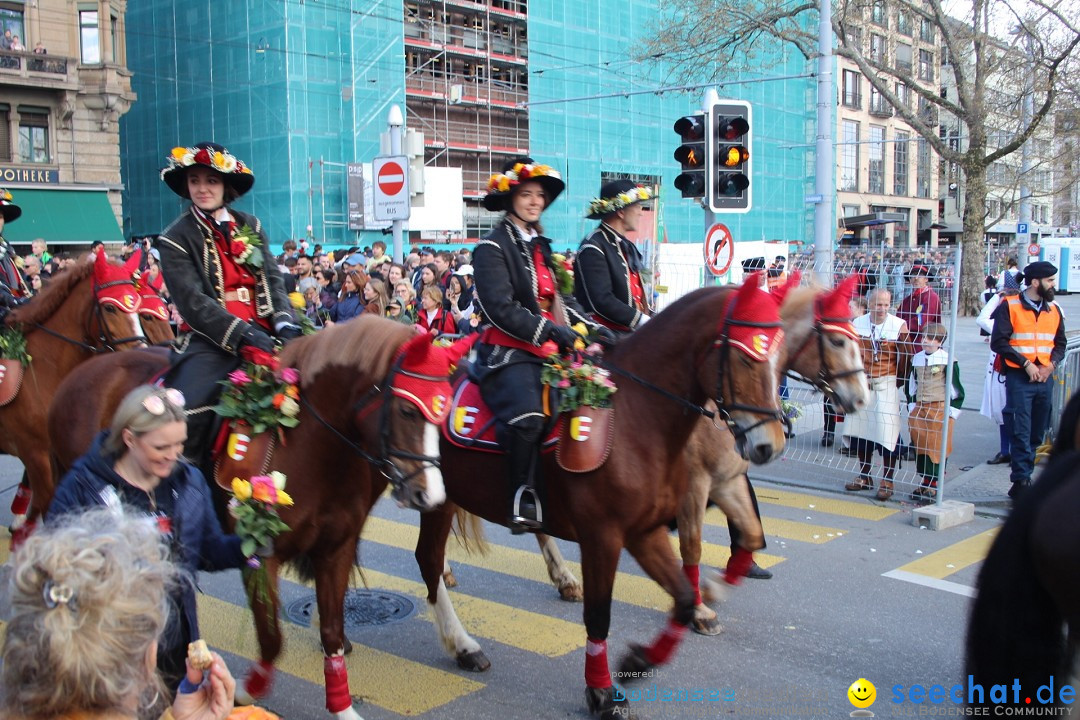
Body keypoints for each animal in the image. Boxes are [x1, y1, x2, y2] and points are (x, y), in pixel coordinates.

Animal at [45, 317, 464, 716]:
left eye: (443, 414)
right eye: (408, 410)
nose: (432, 494)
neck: (312, 446)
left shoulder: (336, 549)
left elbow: (331, 631)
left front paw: (342, 707)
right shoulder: (260, 555)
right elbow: (271, 638)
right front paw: (244, 691)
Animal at [410, 276, 786, 716]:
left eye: (780, 358)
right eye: (746, 358)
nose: (770, 445)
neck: (636, 416)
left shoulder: (646, 532)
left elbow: (683, 597)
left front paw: (639, 660)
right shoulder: (603, 537)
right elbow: (599, 615)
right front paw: (602, 693)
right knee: (426, 558)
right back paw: (462, 645)